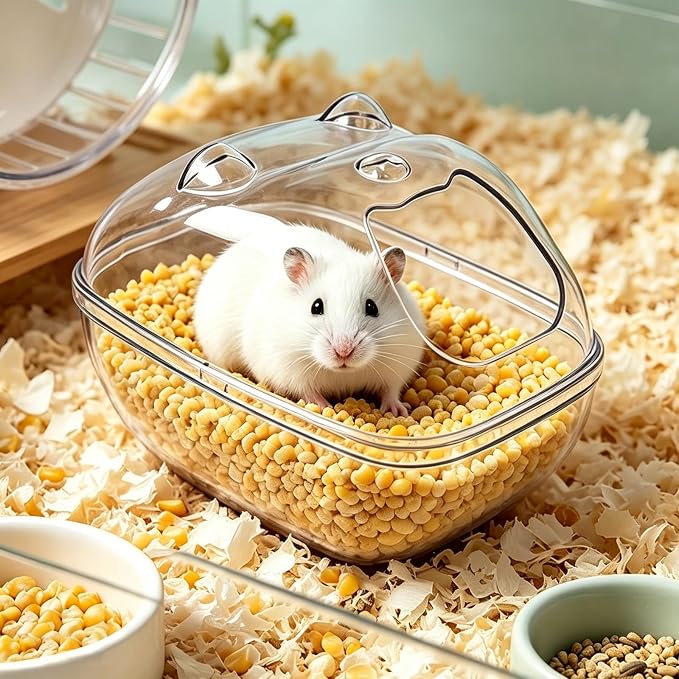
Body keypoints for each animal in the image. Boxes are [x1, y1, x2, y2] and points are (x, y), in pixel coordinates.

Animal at [193, 210, 425, 416]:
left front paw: (399, 411)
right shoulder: (285, 369)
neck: (342, 372)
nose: (343, 352)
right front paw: (326, 410)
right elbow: (307, 392)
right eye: (316, 306)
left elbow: (391, 390)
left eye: (372, 307)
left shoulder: (400, 363)